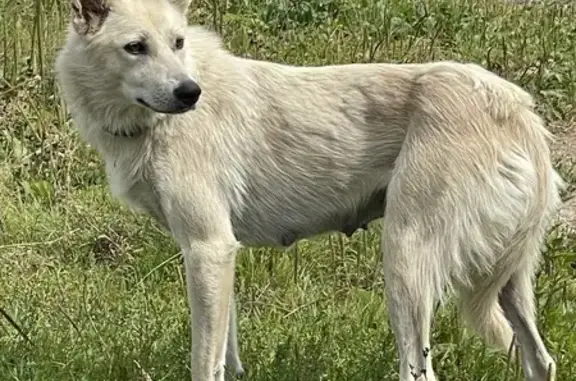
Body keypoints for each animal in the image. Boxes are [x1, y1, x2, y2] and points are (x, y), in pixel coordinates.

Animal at [54, 0, 564, 380]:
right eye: (135, 47)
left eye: (177, 43)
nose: (190, 94)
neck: (149, 126)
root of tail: (519, 111)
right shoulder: (220, 253)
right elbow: (227, 355)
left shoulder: (207, 248)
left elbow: (204, 361)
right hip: (509, 284)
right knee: (542, 361)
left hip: (405, 262)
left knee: (420, 371)